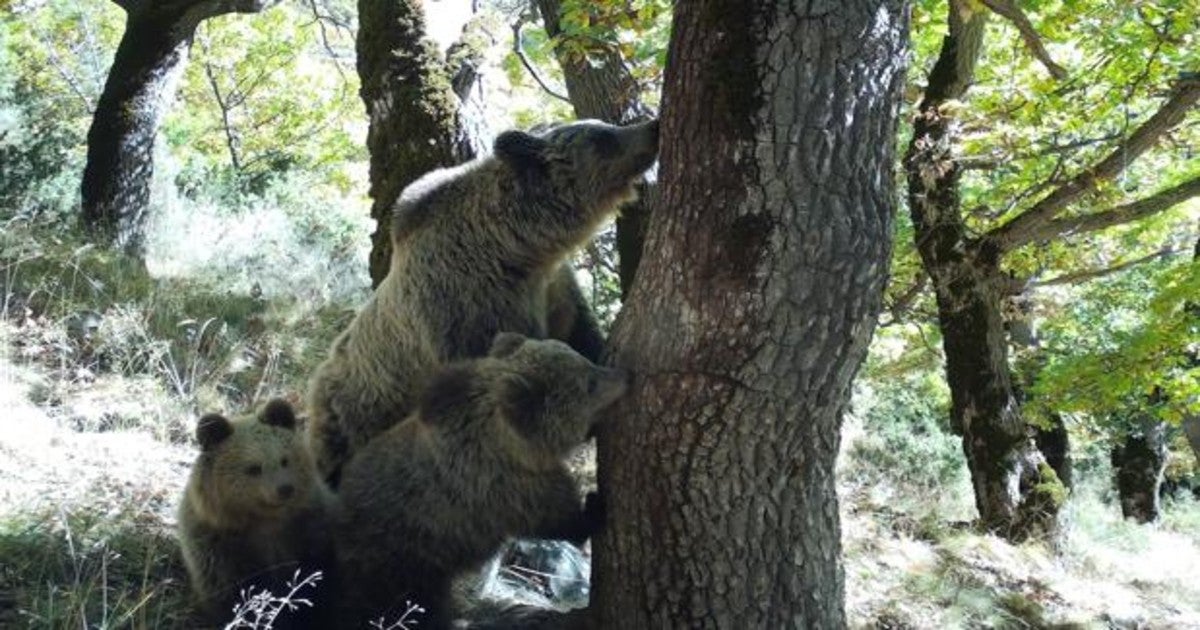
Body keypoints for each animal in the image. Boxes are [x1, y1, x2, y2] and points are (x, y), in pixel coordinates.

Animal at [175, 398, 333, 624]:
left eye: (284, 459)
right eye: (253, 468)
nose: (285, 488)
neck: (264, 520)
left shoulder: (309, 530)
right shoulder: (218, 549)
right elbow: (230, 596)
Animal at [300, 117, 657, 484]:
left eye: (604, 125)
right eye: (602, 138)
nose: (653, 127)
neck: (516, 250)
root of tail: (314, 388)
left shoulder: (554, 291)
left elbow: (580, 331)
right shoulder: (469, 311)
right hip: (353, 420)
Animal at [328, 331, 628, 624]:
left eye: (587, 362)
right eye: (589, 384)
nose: (624, 375)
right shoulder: (505, 489)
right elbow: (559, 522)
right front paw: (595, 507)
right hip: (403, 563)